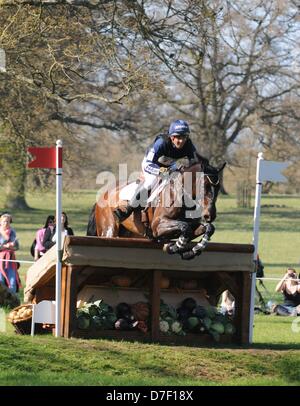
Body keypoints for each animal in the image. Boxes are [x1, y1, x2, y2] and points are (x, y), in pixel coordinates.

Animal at [86, 159, 225, 260]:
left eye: (218, 187)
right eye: (205, 186)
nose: (210, 215)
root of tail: (103, 196)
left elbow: (207, 228)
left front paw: (193, 250)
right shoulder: (157, 226)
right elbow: (185, 227)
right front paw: (174, 247)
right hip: (109, 230)